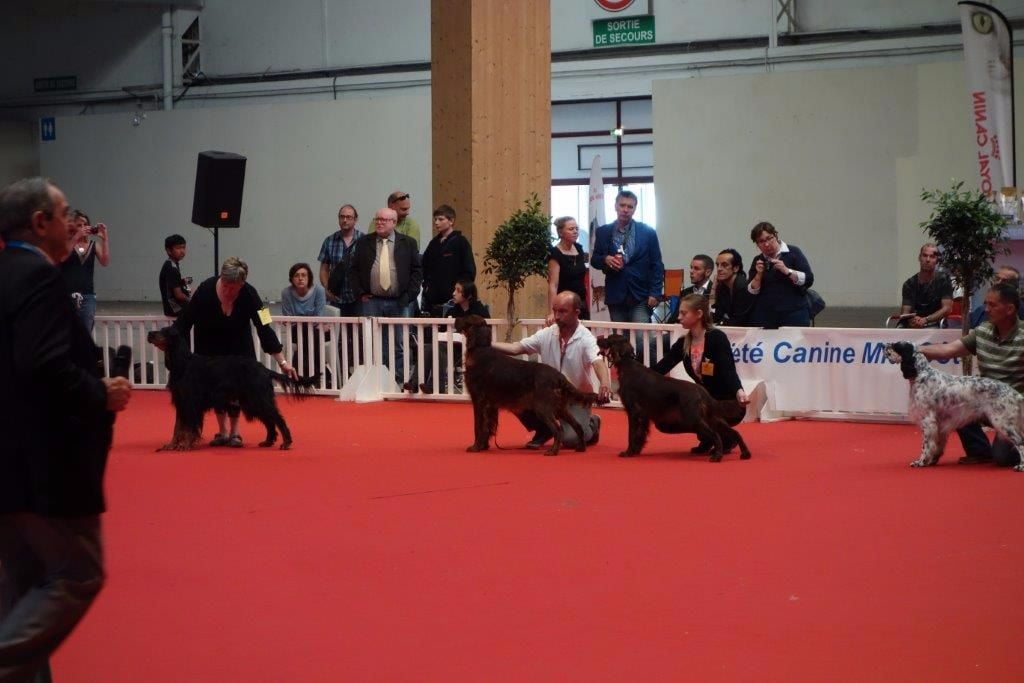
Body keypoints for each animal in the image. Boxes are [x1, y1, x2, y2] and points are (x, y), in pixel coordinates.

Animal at [146, 327, 315, 450]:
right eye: (161, 330)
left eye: (165, 332)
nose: (150, 333)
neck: (182, 363)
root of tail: (263, 369)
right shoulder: (180, 402)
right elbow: (177, 427)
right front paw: (171, 445)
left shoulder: (191, 403)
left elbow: (189, 427)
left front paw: (185, 445)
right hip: (251, 402)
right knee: (269, 421)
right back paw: (268, 441)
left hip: (258, 399)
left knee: (278, 419)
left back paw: (286, 442)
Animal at [456, 313, 598, 454]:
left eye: (466, 317)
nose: (456, 318)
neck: (480, 349)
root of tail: (559, 376)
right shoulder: (490, 405)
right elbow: (487, 427)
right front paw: (483, 446)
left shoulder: (479, 400)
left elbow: (478, 426)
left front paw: (475, 447)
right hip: (560, 407)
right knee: (578, 426)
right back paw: (581, 447)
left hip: (542, 407)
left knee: (558, 429)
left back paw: (553, 451)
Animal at [593, 333, 753, 462]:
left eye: (608, 338)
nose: (597, 338)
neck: (627, 365)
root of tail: (701, 391)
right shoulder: (644, 416)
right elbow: (640, 435)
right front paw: (635, 451)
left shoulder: (634, 412)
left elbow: (632, 434)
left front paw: (628, 452)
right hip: (711, 418)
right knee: (734, 432)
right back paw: (745, 453)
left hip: (693, 418)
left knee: (716, 435)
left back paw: (717, 456)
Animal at [884, 339, 1019, 473]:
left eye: (896, 345)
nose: (885, 345)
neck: (921, 374)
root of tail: (1011, 391)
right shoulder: (939, 425)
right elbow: (937, 445)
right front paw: (932, 460)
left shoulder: (928, 421)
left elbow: (926, 445)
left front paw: (921, 462)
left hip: (1002, 422)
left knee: (1020, 441)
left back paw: (1020, 466)